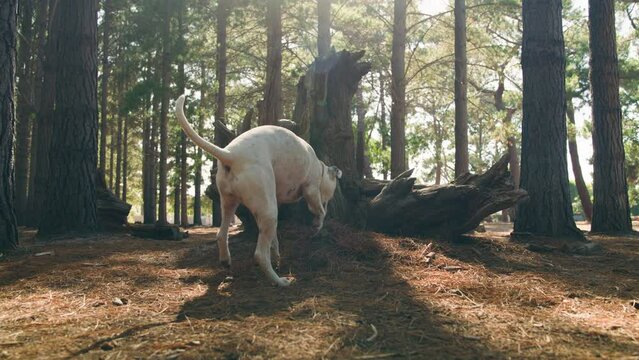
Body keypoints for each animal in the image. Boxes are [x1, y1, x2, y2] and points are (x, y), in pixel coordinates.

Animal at [175, 95, 342, 286]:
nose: (329, 203)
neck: (319, 167)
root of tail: (231, 155)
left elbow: (275, 239)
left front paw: (277, 254)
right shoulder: (311, 190)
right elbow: (319, 211)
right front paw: (317, 225)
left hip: (230, 204)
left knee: (221, 234)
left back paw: (226, 260)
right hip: (268, 212)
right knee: (260, 255)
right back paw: (279, 281)